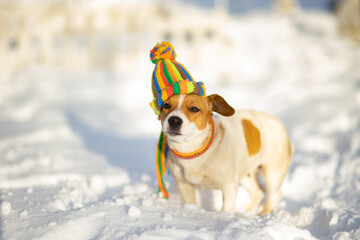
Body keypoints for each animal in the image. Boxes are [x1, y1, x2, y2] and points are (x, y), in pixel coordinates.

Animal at [160, 93, 292, 214]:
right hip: (245, 174)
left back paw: (264, 213)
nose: (174, 120)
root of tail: (279, 123)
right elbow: (190, 203)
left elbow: (226, 209)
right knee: (258, 191)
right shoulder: (184, 185)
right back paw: (247, 213)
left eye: (194, 109)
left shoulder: (229, 186)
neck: (191, 151)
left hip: (273, 173)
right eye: (166, 105)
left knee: (275, 194)